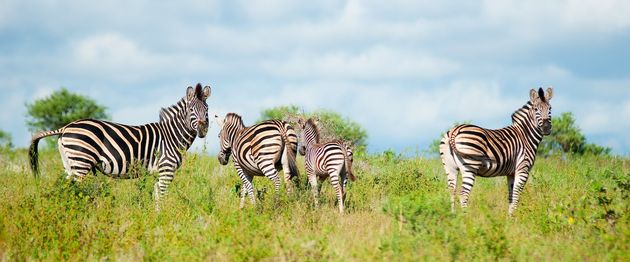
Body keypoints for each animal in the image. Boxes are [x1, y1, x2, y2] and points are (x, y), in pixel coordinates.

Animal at [29, 84, 212, 211]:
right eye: (191, 109)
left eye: (207, 109)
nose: (203, 129)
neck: (172, 136)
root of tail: (66, 127)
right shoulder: (167, 168)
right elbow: (162, 194)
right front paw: (164, 217)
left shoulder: (158, 172)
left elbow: (156, 194)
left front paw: (156, 216)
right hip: (81, 162)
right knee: (73, 190)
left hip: (70, 164)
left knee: (64, 188)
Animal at [442, 87, 556, 215]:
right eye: (536, 109)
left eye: (550, 108)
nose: (546, 128)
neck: (525, 135)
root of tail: (455, 131)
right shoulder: (523, 169)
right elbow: (516, 196)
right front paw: (514, 217)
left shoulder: (511, 173)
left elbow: (511, 197)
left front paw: (509, 217)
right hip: (470, 166)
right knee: (463, 195)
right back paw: (465, 217)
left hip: (450, 167)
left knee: (452, 191)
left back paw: (454, 215)